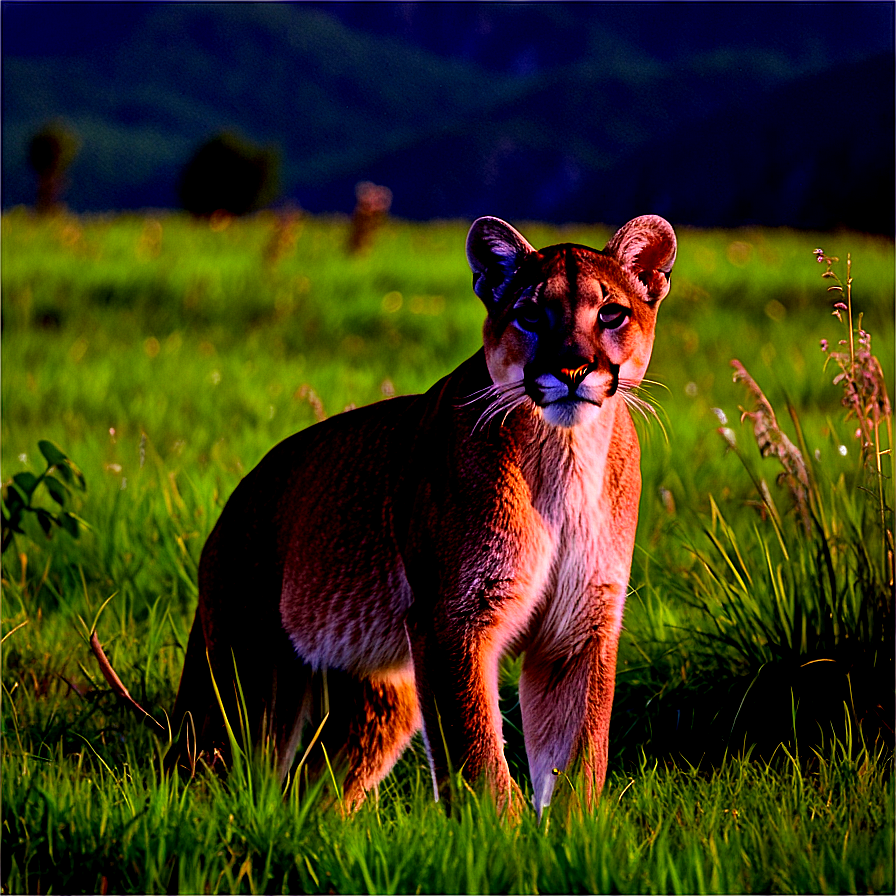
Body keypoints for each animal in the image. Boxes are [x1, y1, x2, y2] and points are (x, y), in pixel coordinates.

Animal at [168, 214, 676, 816]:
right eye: (531, 315)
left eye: (611, 313)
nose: (572, 369)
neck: (564, 451)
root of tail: (239, 495)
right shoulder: (452, 617)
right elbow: (477, 755)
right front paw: (500, 836)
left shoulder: (577, 629)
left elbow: (578, 757)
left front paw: (573, 837)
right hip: (245, 669)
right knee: (214, 773)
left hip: (382, 694)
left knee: (308, 787)